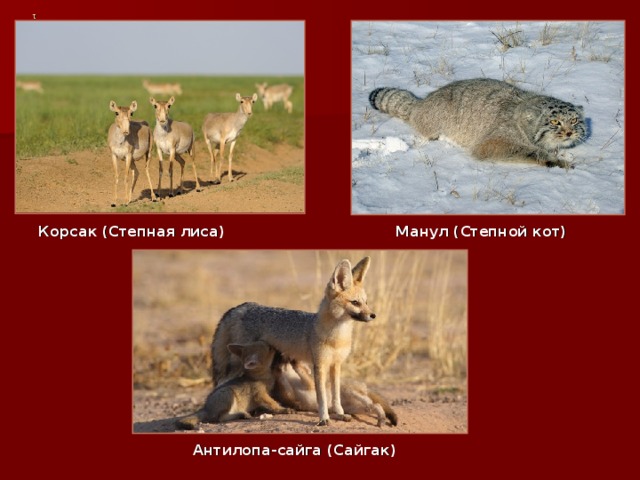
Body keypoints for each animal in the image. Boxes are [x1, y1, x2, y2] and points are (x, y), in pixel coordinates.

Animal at [211, 256, 376, 426]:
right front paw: (324, 418)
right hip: (237, 365)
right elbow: (322, 397)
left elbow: (335, 395)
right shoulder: (320, 365)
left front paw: (340, 413)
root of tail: (241, 306)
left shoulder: (336, 365)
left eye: (366, 302)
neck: (337, 338)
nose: (373, 315)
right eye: (355, 303)